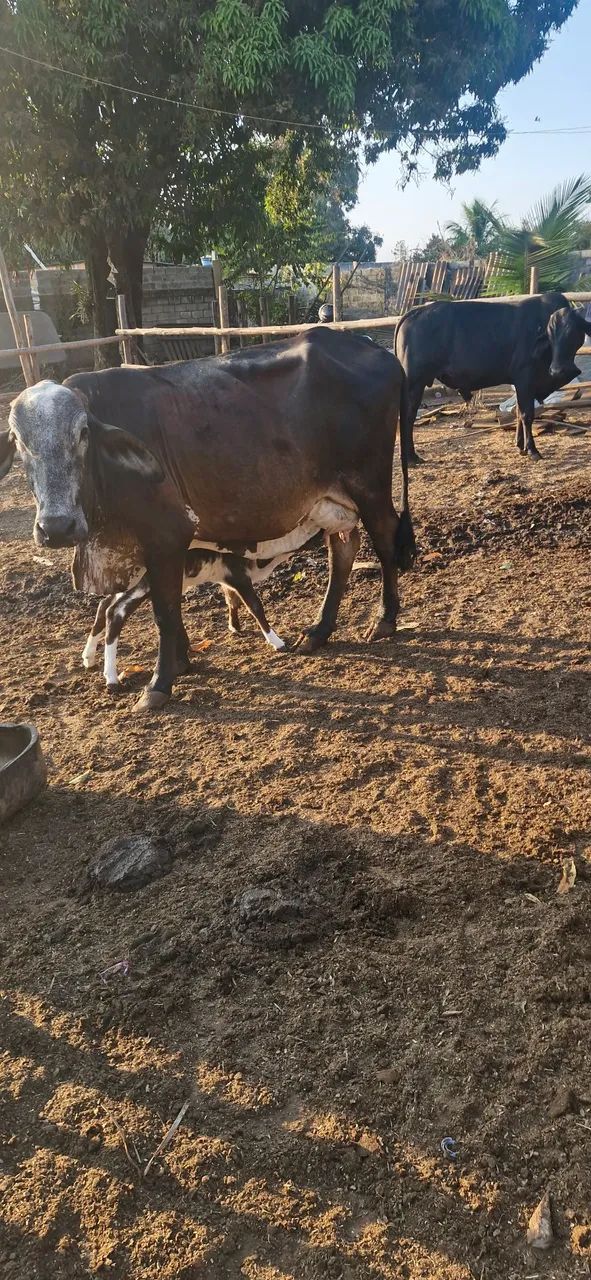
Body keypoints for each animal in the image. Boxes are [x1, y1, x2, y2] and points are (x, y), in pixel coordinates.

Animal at [1, 328, 415, 712]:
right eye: (18, 440)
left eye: (83, 433)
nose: (57, 527)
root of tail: (371, 346)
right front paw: (181, 662)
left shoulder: (167, 535)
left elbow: (165, 613)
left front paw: (159, 684)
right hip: (331, 499)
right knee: (342, 550)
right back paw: (318, 632)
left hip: (370, 483)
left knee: (384, 538)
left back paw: (384, 619)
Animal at [395, 293, 591, 462]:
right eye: (550, 335)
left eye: (574, 333)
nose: (558, 370)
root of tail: (414, 312)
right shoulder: (525, 380)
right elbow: (526, 414)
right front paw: (532, 450)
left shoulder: (521, 384)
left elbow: (518, 412)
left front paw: (520, 446)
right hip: (415, 384)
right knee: (408, 417)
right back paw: (411, 458)